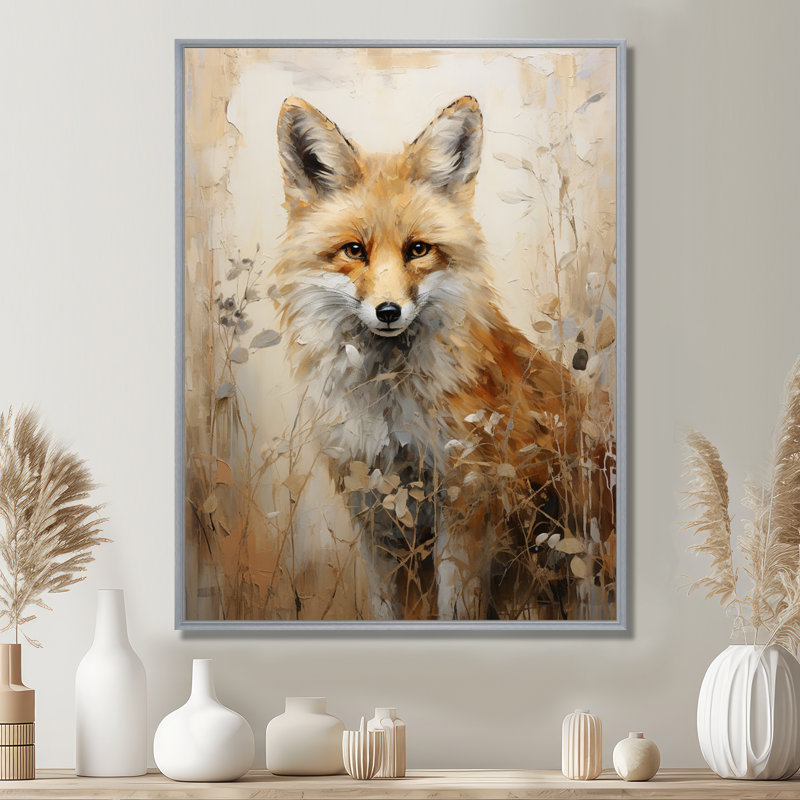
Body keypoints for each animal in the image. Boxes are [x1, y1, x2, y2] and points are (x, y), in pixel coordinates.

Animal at [274, 95, 614, 621]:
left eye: (418, 249)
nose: (388, 311)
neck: (389, 405)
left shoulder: (465, 500)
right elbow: (385, 608)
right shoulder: (372, 509)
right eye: (354, 250)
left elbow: (456, 606)